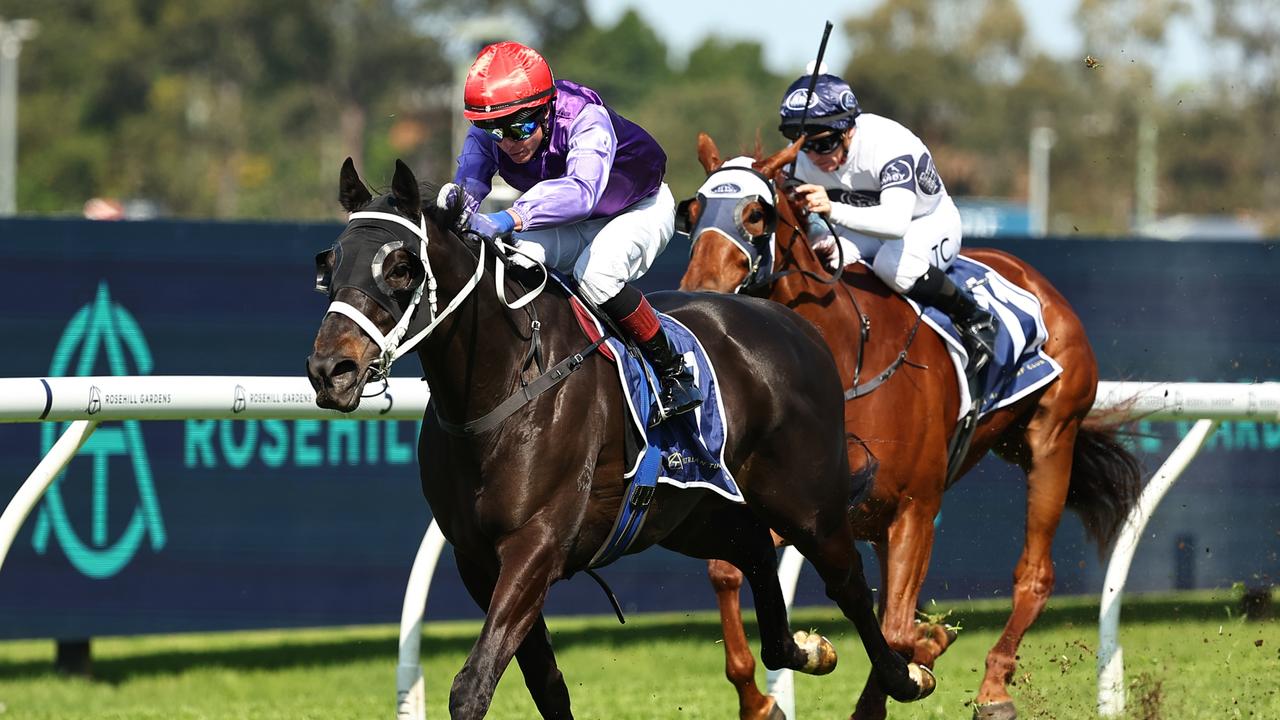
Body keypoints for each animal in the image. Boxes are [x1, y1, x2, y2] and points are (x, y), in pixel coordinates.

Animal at [304, 159, 936, 712]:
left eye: (400, 267)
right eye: (329, 264)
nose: (330, 370)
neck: (503, 387)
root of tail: (795, 324)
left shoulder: (536, 546)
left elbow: (474, 684)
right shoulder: (477, 560)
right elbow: (546, 684)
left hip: (807, 501)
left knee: (846, 581)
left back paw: (910, 672)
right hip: (693, 515)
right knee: (756, 555)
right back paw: (809, 650)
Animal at [680, 134, 1141, 717]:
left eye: (754, 214)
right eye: (692, 213)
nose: (697, 290)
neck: (843, 358)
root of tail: (1031, 278)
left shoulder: (916, 508)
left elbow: (897, 629)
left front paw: (927, 648)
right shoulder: (813, 507)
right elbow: (728, 571)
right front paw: (763, 694)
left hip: (1050, 438)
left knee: (1034, 576)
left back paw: (992, 687)